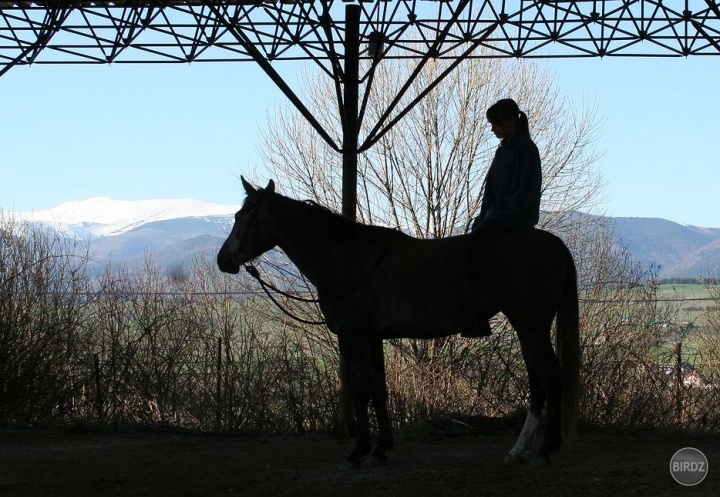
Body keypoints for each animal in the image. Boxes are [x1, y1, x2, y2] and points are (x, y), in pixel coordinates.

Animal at [218, 178, 580, 468]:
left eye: (243, 217)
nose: (223, 260)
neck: (345, 257)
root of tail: (555, 244)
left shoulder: (351, 335)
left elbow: (359, 389)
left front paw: (357, 452)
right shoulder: (372, 337)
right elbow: (379, 389)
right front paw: (380, 449)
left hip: (530, 326)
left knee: (551, 378)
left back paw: (543, 452)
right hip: (529, 329)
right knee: (538, 384)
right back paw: (520, 451)